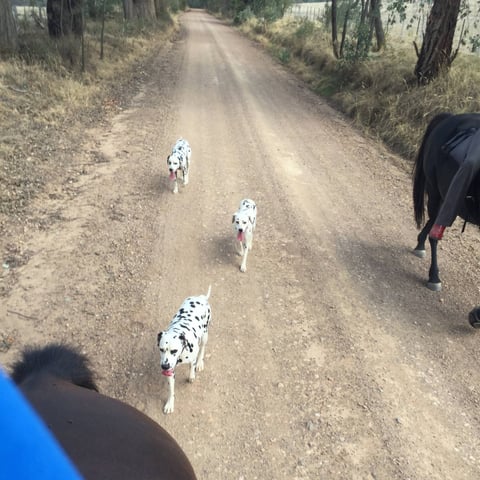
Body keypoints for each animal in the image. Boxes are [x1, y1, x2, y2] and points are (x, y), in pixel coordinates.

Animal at [157, 284, 211, 412]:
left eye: (174, 351)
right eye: (161, 349)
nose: (164, 366)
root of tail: (201, 298)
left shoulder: (191, 358)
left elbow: (192, 367)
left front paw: (192, 375)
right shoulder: (170, 371)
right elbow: (171, 390)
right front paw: (170, 404)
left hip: (205, 334)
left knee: (202, 348)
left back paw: (200, 363)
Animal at [410, 112, 480, 296]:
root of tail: (449, 117)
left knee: (435, 220)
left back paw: (420, 245)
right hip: (435, 191)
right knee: (435, 231)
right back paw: (434, 277)